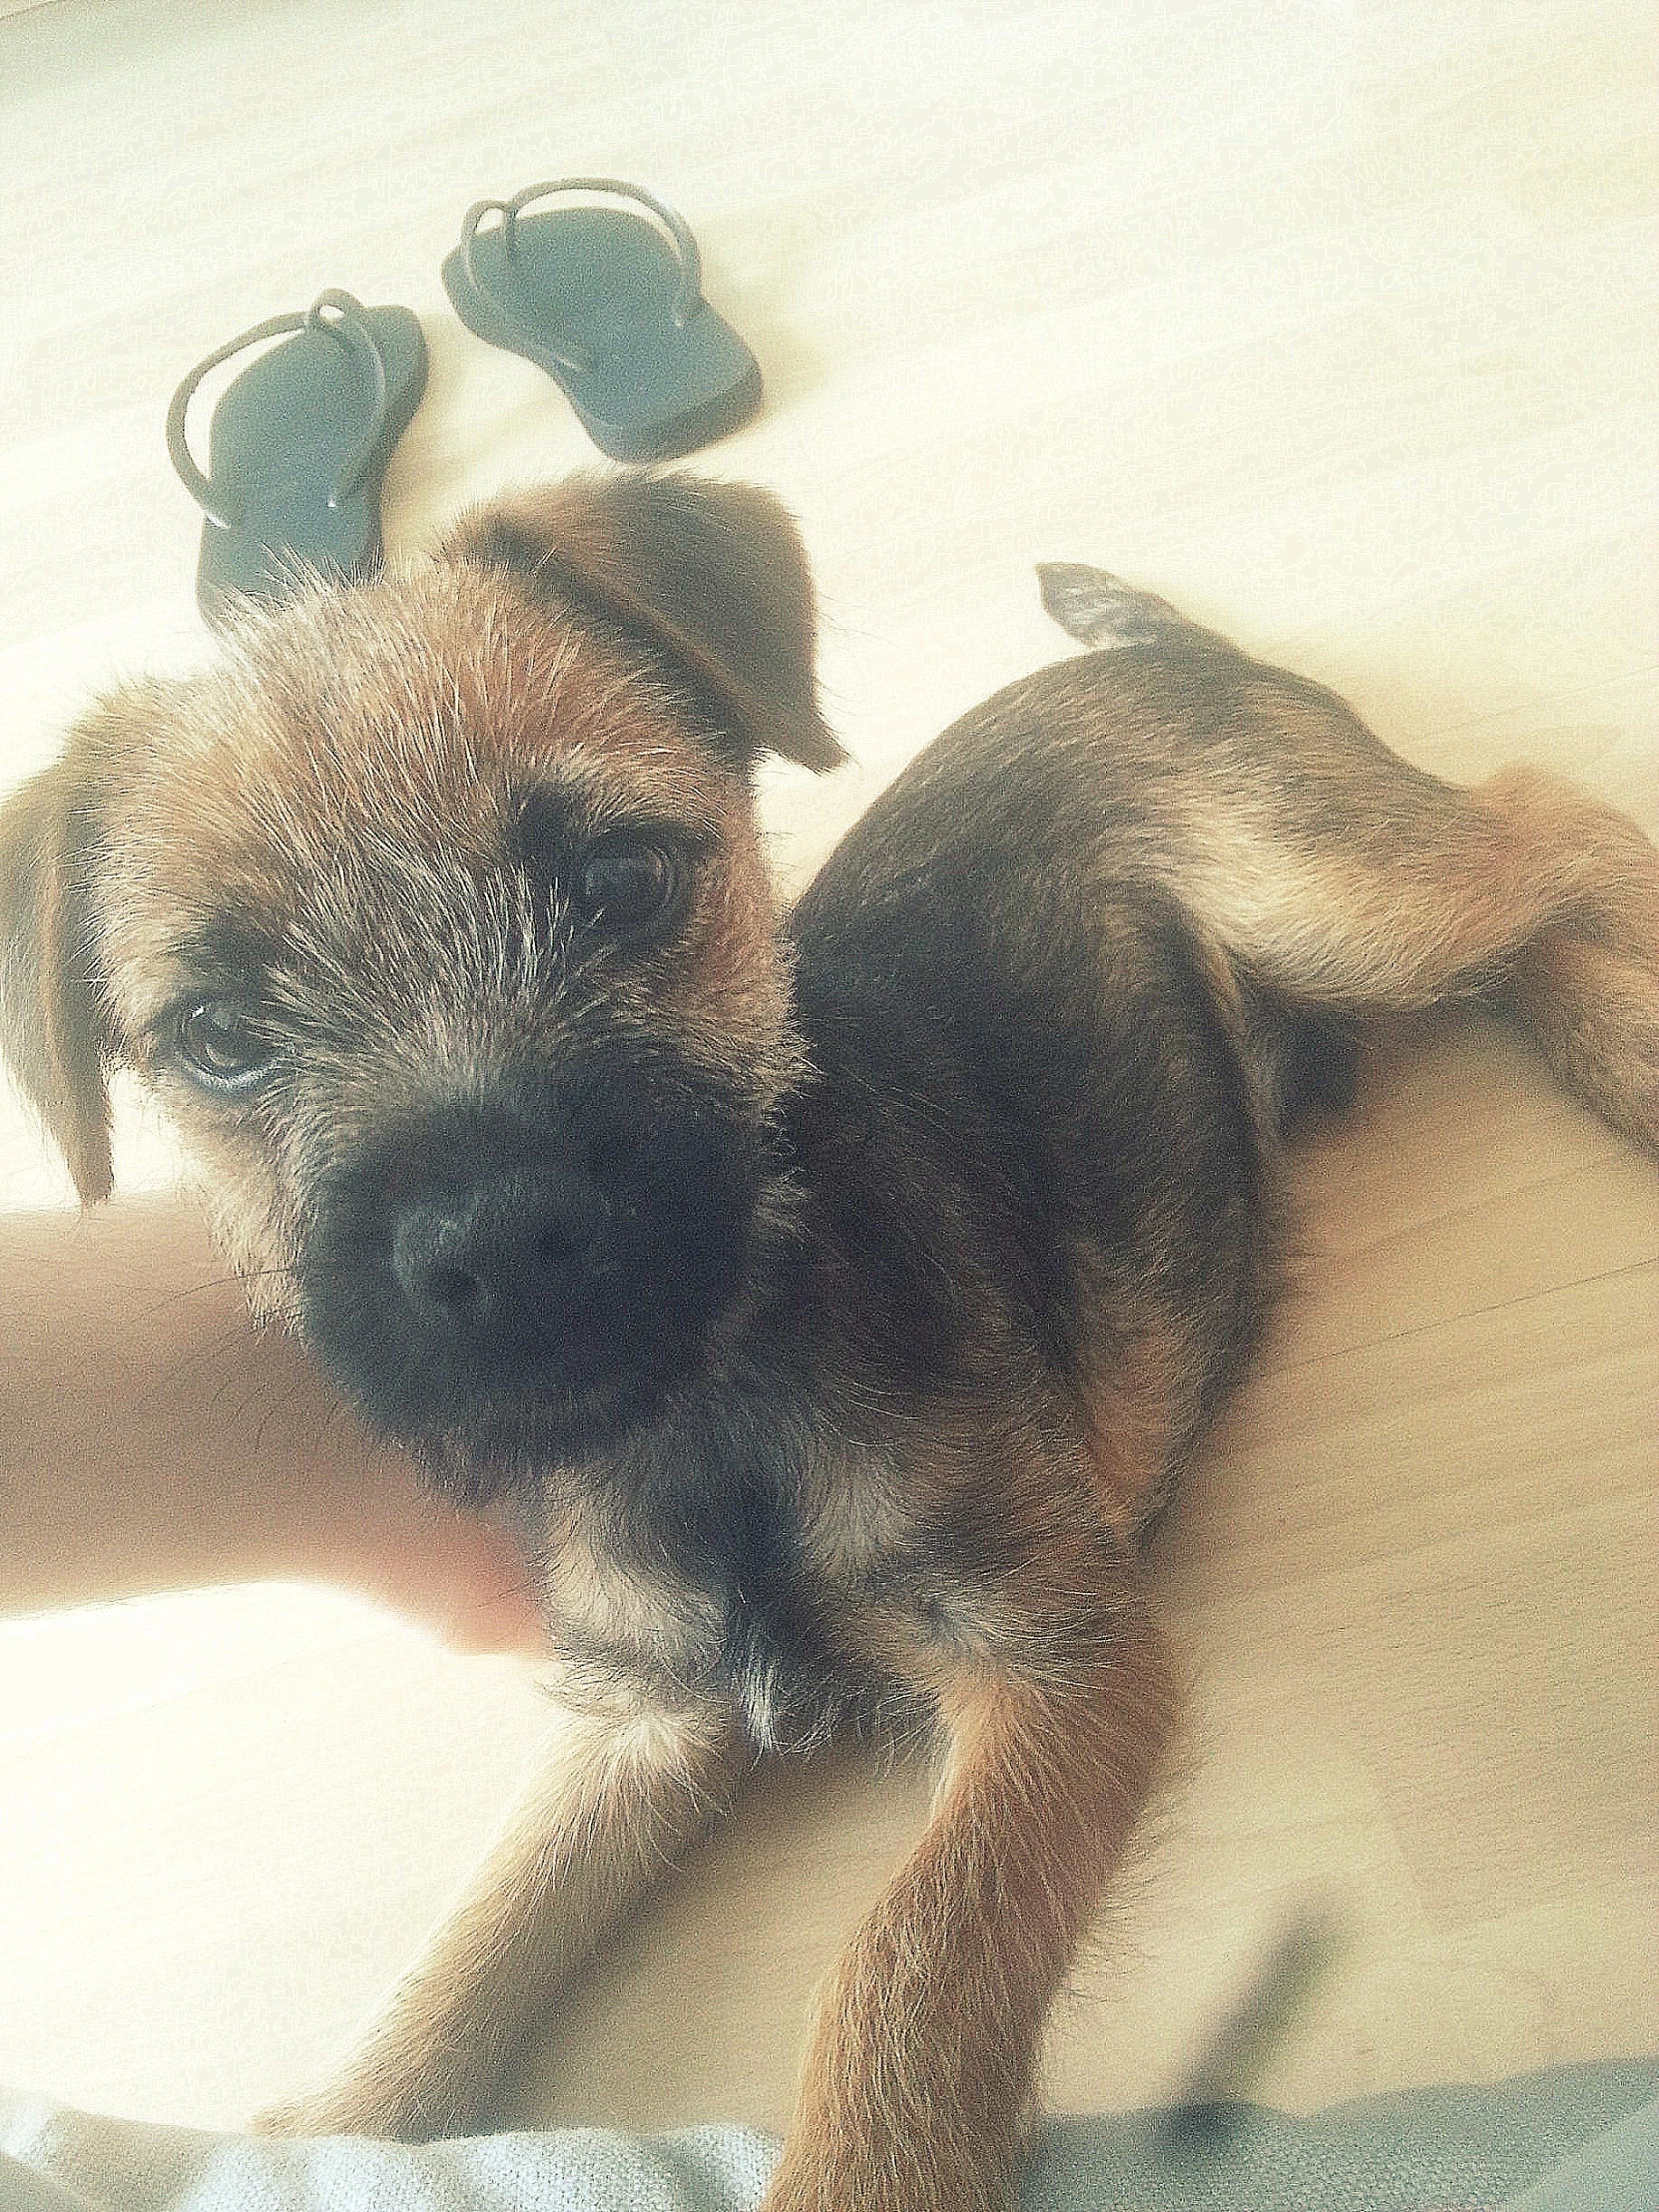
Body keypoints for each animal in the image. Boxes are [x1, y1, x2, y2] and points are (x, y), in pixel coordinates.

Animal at [3, 471, 1659, 2212]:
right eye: (219, 1038)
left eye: (617, 882)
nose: (495, 1238)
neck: (712, 1399)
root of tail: (1161, 661)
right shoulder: (646, 1725)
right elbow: (477, 1937)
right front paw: (317, 2123)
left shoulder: (1053, 1661)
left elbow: (905, 1964)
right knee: (1525, 926)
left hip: (1333, 895)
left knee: (1550, 829)